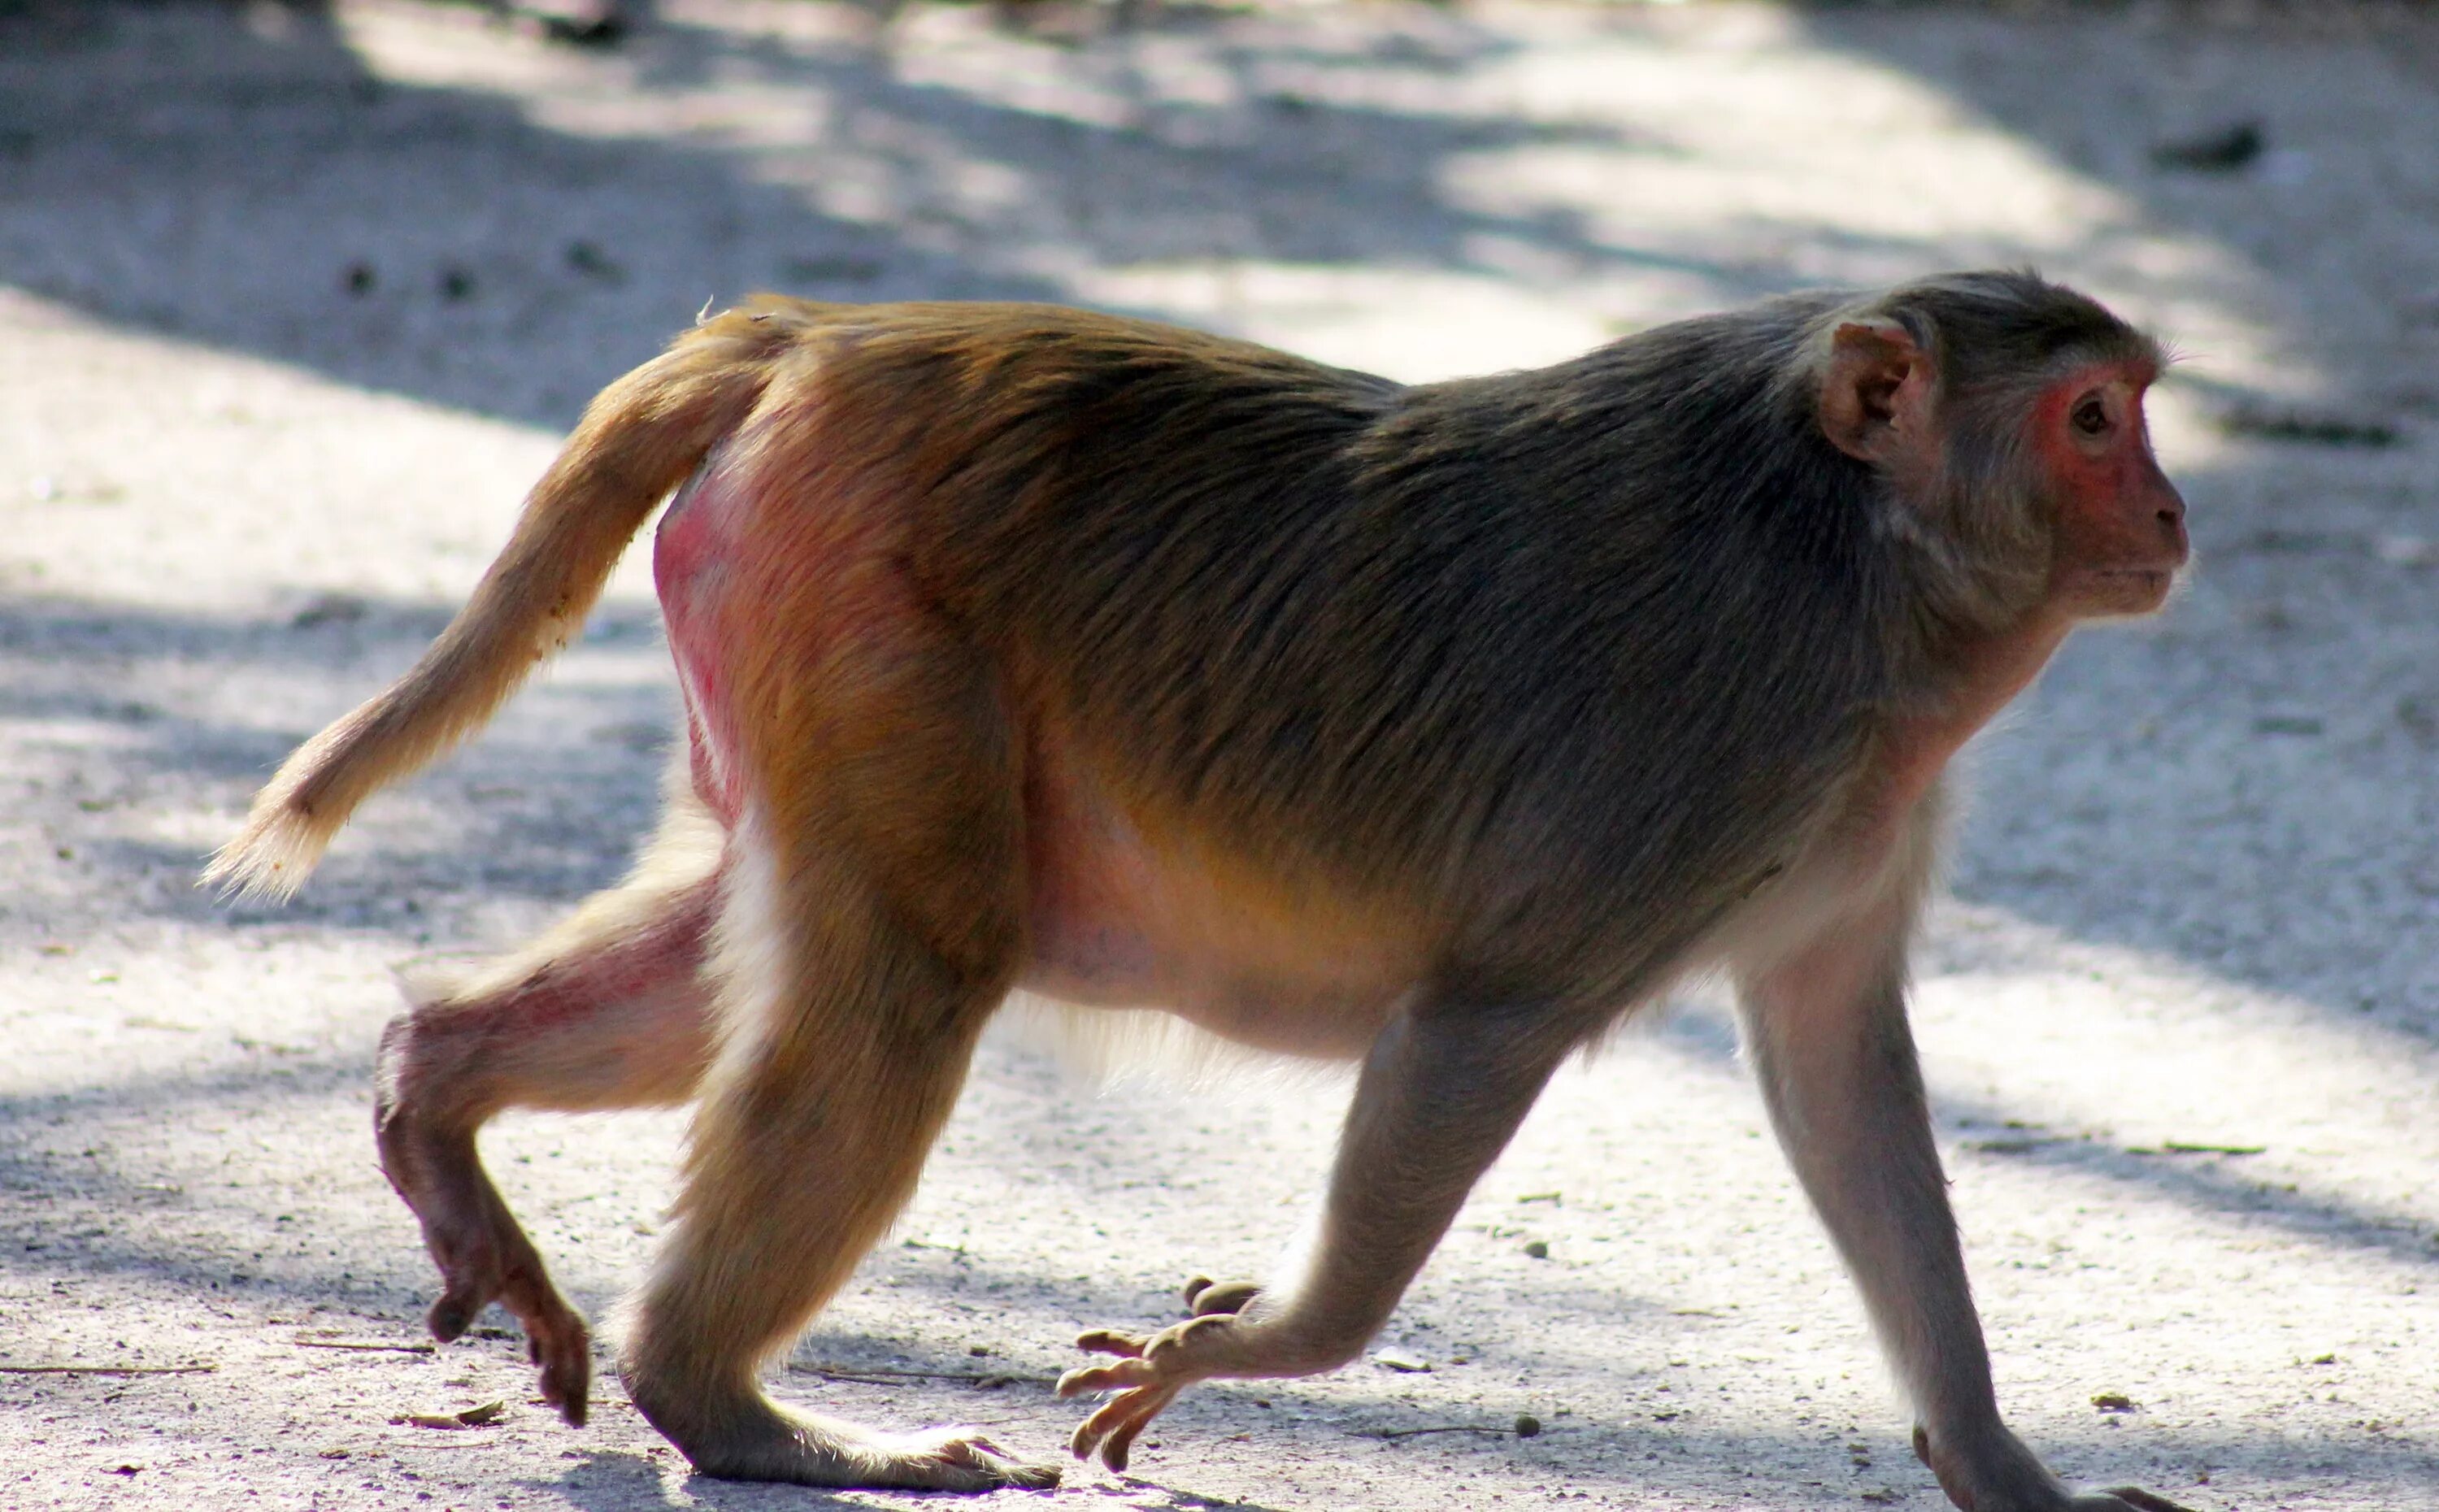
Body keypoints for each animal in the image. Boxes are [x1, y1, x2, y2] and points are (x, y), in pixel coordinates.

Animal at [205, 274, 2195, 1512]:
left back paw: (436, 1097)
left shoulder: (1850, 817)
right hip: (863, 606)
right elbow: (1481, 1025)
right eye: (2095, 420)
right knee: (917, 963)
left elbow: (1841, 1065)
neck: (1860, 555)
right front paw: (1260, 1345)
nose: (2178, 517)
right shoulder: (1719, 760)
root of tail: (808, 343)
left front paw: (2000, 1467)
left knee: (763, 945)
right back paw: (731, 1406)